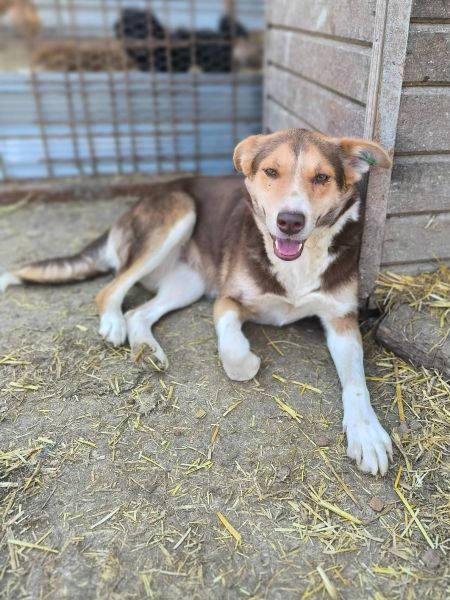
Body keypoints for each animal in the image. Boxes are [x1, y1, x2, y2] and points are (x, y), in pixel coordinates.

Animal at [0, 129, 393, 476]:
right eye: (271, 172)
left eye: (322, 177)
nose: (290, 221)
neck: (297, 263)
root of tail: (138, 202)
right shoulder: (227, 300)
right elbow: (234, 356)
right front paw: (250, 360)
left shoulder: (342, 319)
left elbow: (356, 381)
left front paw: (367, 434)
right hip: (177, 213)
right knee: (110, 291)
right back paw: (112, 323)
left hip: (188, 282)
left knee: (138, 312)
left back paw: (146, 348)